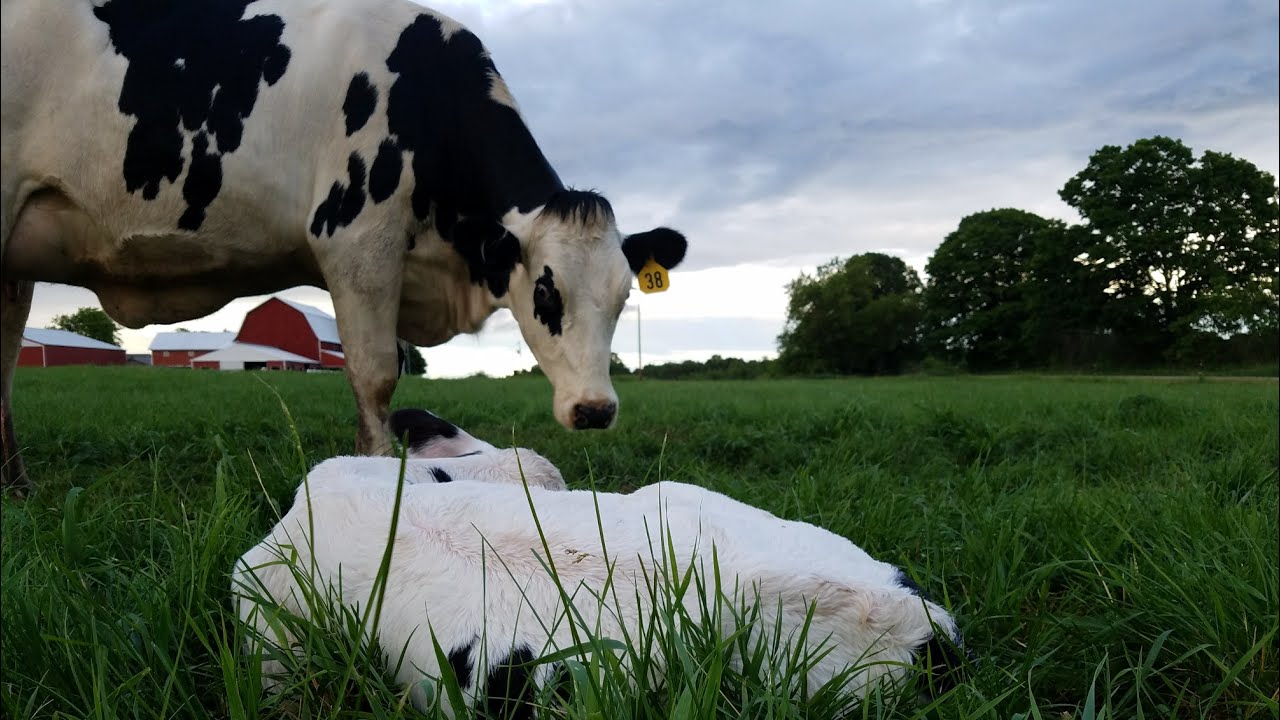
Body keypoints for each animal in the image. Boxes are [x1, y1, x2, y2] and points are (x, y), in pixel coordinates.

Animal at [0, 0, 689, 492]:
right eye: (546, 292)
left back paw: (17, 486)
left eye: (623, 299)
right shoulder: (357, 240)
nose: (595, 410)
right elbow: (377, 375)